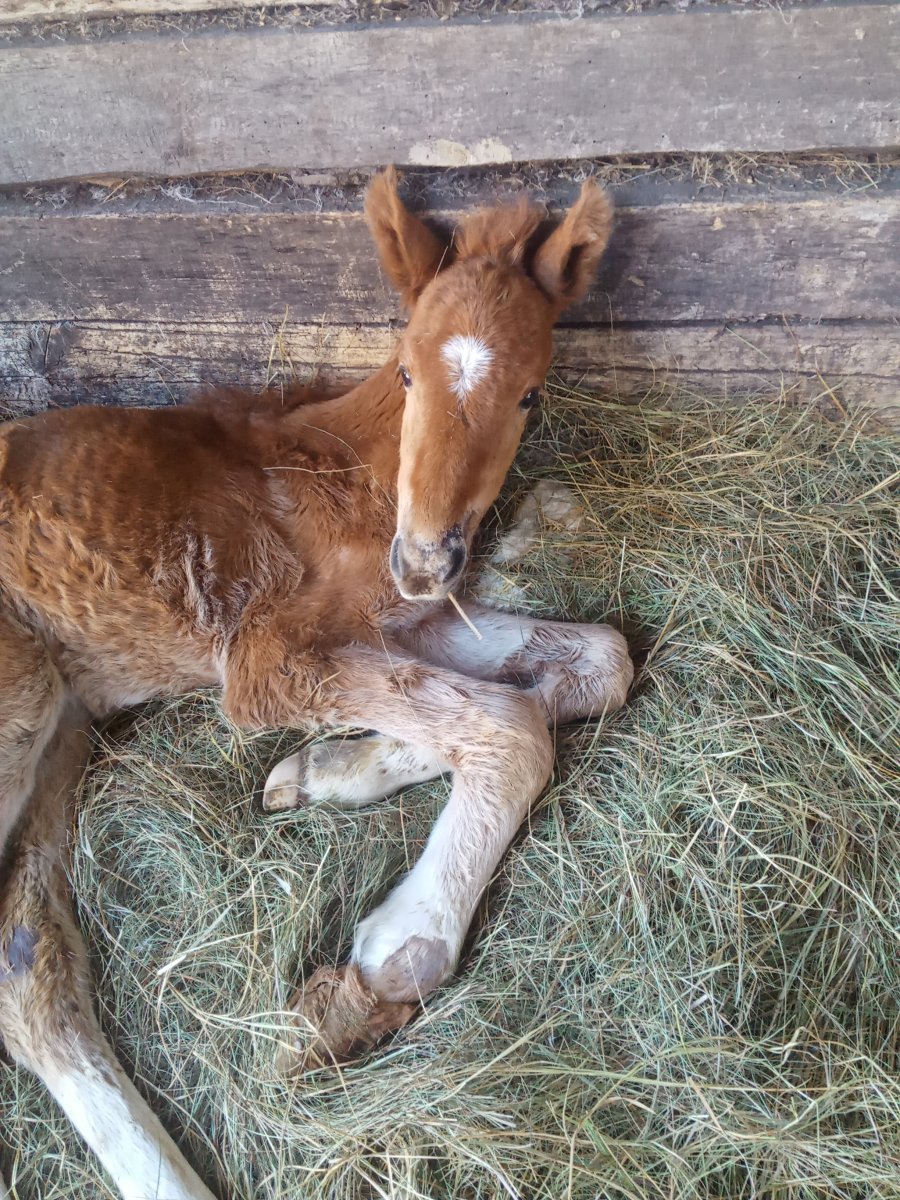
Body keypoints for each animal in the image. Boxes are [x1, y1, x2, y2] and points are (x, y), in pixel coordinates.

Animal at [0, 169, 633, 1200]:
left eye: (531, 394)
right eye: (408, 372)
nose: (426, 557)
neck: (353, 475)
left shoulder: (401, 620)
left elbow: (594, 665)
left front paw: (325, 774)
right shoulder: (269, 660)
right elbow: (507, 725)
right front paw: (385, 966)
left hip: (58, 729)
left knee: (31, 973)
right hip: (18, 699)